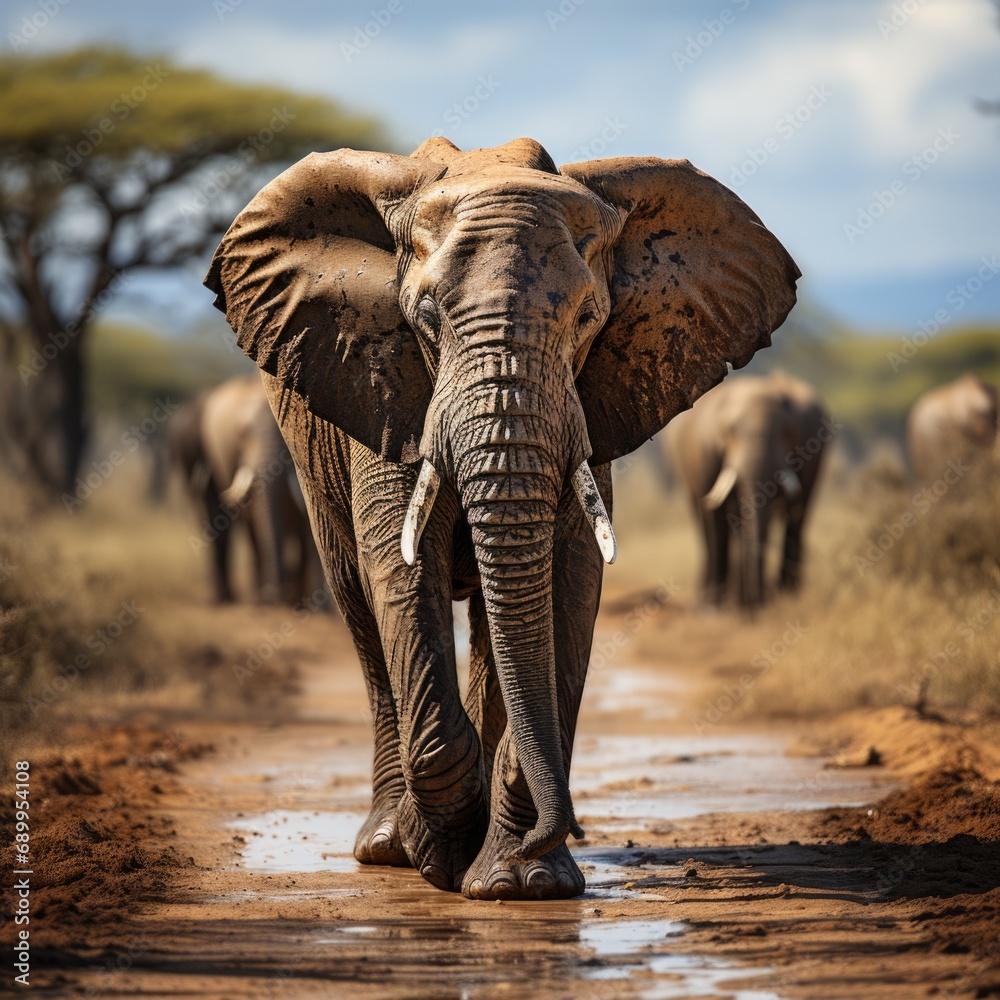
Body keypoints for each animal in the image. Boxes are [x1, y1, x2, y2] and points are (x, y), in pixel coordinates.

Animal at [204, 136, 799, 899]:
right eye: (426, 317)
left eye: (588, 319)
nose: (570, 825)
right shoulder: (384, 384)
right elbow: (403, 567)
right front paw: (438, 855)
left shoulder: (588, 405)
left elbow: (570, 578)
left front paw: (523, 881)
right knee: (359, 606)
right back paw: (388, 847)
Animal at [664, 373, 827, 607]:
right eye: (730, 431)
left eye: (786, 432)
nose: (759, 600)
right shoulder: (707, 454)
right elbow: (716, 516)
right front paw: (714, 606)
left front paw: (760, 603)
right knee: (705, 521)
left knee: (800, 514)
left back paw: (781, 595)